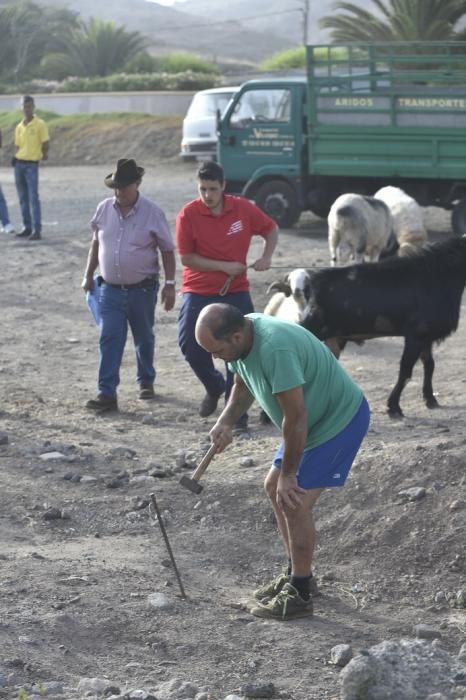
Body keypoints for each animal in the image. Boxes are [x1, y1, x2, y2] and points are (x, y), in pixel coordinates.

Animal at [282, 238, 464, 418]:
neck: (436, 274)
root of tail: (312, 284)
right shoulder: (416, 335)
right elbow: (405, 371)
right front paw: (394, 407)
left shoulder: (426, 336)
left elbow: (429, 365)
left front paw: (430, 399)